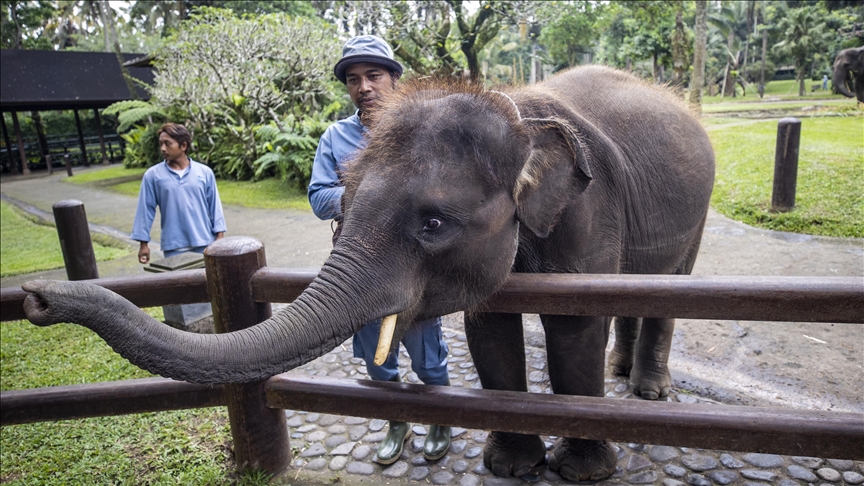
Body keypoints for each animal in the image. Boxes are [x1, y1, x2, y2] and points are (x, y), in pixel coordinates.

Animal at [22, 65, 715, 481]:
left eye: (433, 223)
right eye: (344, 202)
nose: (35, 298)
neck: (514, 111)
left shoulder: (587, 214)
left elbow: (573, 326)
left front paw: (580, 471)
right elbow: (489, 328)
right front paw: (511, 466)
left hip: (698, 212)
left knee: (670, 288)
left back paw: (649, 393)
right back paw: (621, 373)